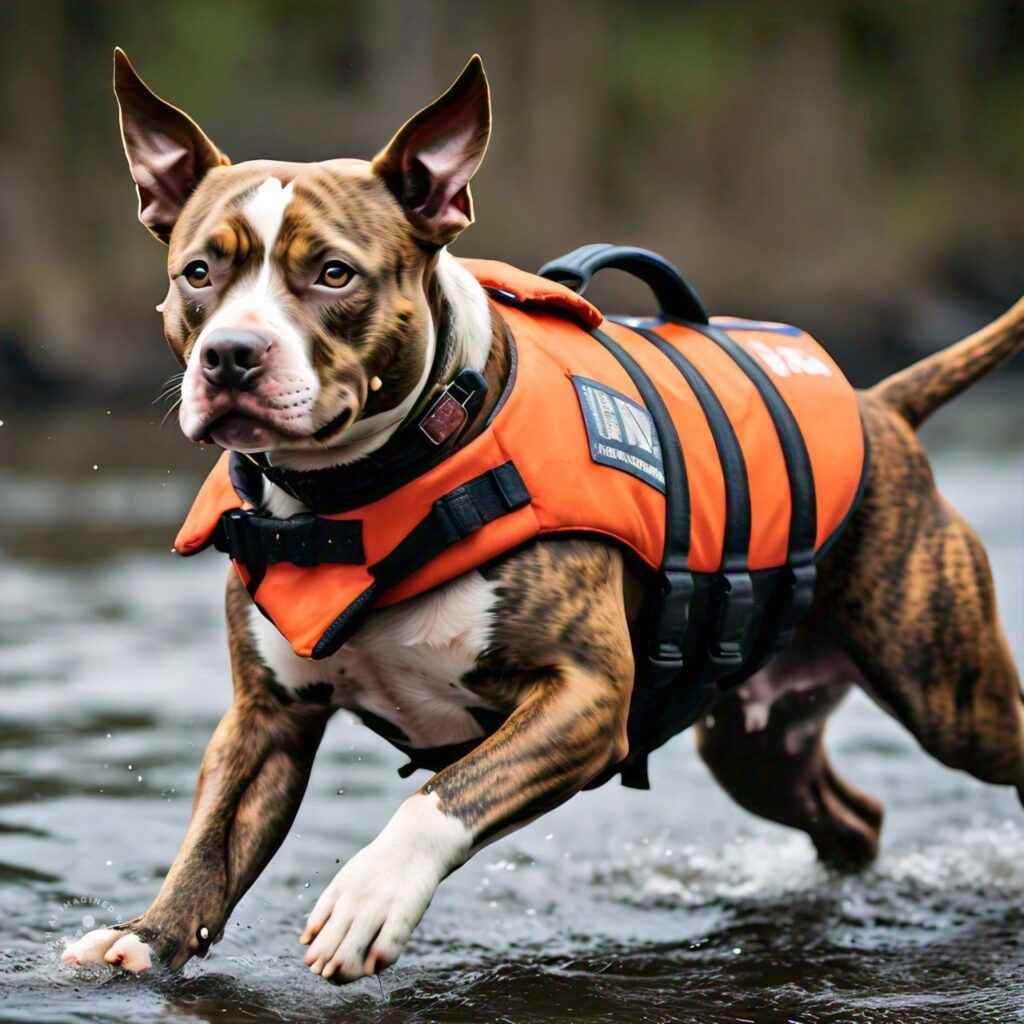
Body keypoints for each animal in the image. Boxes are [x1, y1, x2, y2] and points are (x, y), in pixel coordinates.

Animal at [66, 49, 1024, 983]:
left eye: (334, 273)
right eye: (199, 273)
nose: (231, 355)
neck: (355, 491)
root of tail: (880, 404)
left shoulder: (587, 698)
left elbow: (440, 799)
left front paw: (368, 897)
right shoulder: (267, 716)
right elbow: (211, 841)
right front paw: (147, 936)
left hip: (951, 696)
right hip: (757, 742)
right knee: (853, 819)